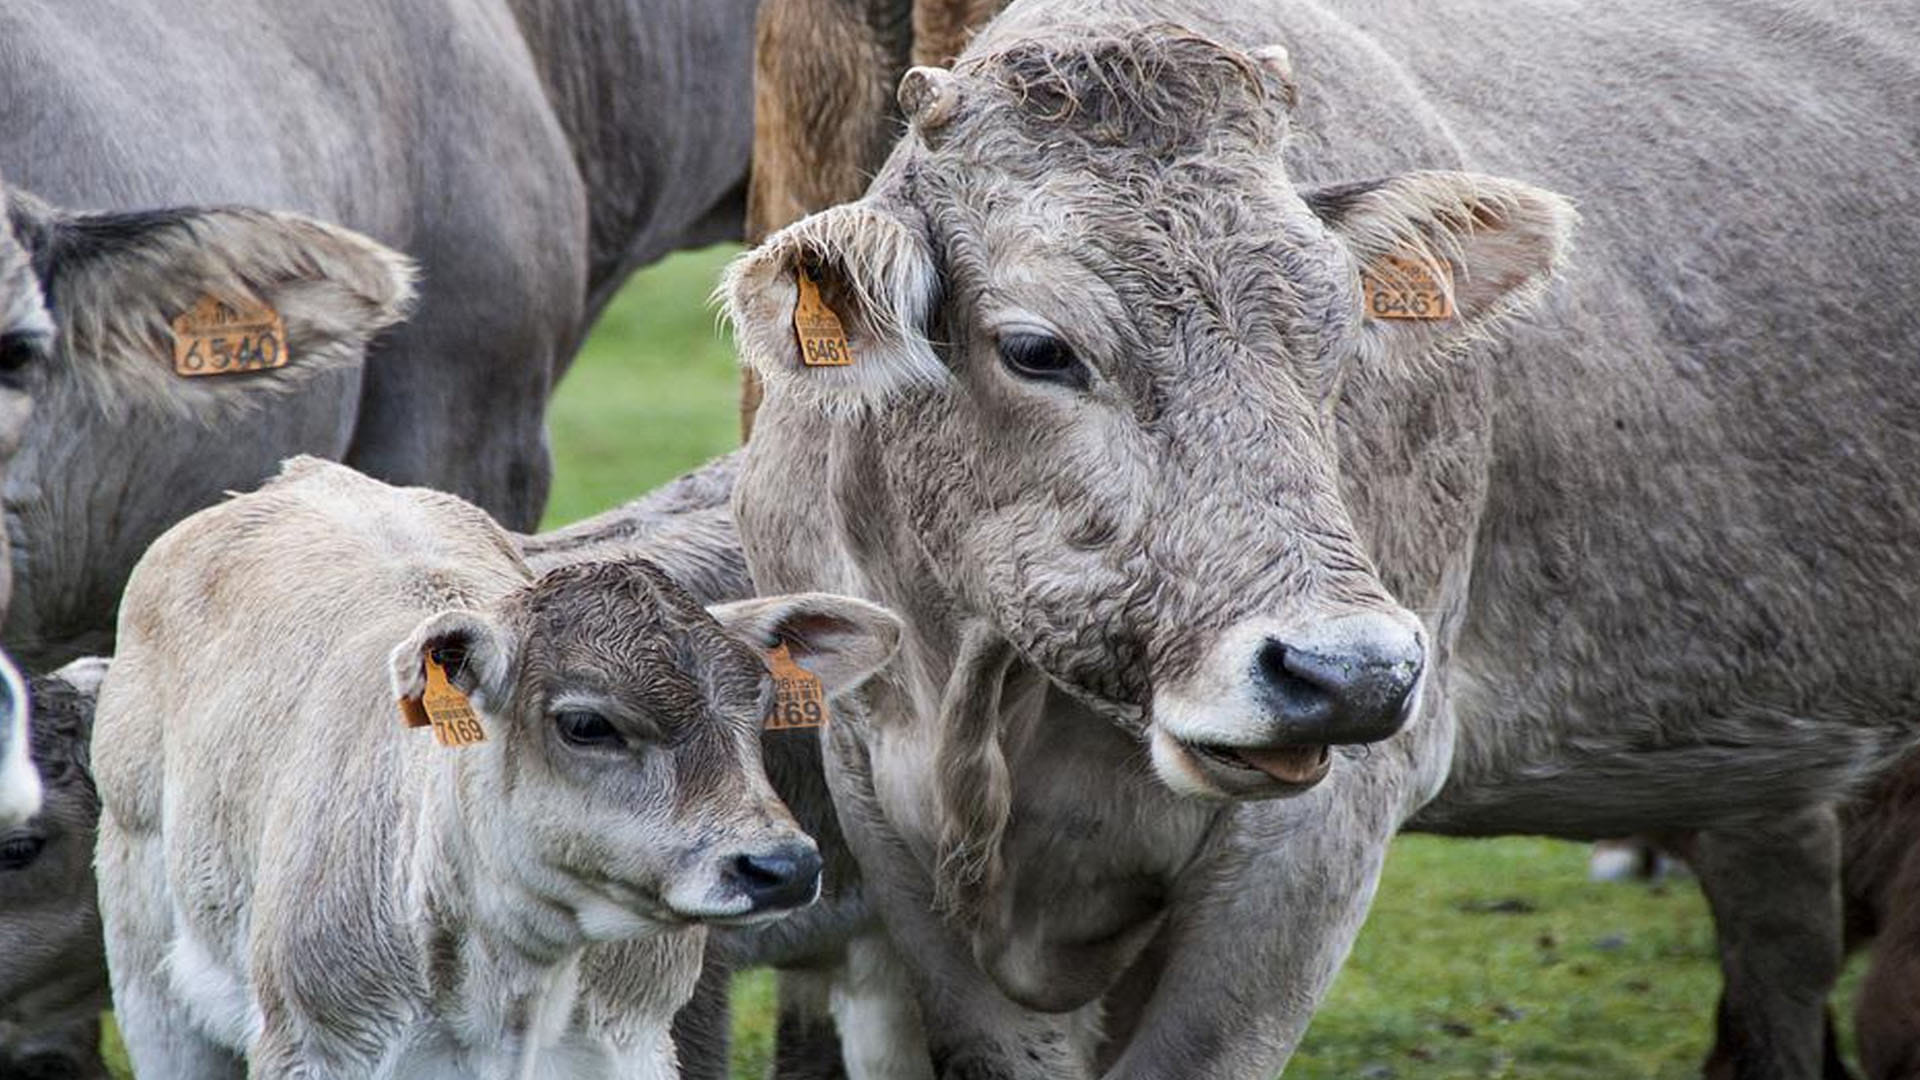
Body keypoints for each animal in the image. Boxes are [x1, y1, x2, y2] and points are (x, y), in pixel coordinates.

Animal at [92, 458, 902, 1079]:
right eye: (585, 724)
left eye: (758, 706)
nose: (782, 866)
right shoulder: (315, 1046)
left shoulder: (635, 1042)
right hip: (148, 974)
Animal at [723, 2, 1920, 1077]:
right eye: (1037, 348)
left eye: (1342, 332)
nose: (1349, 672)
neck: (984, 700)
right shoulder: (879, 806)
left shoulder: (1321, 835)